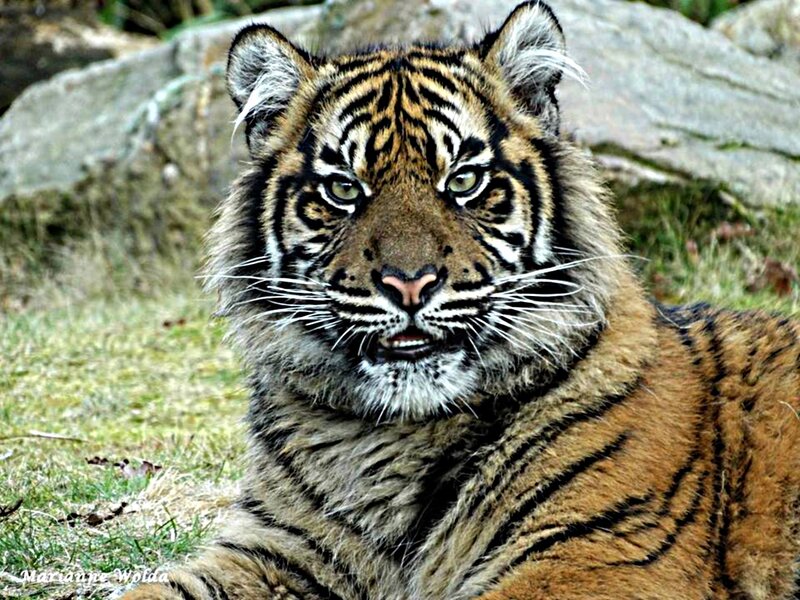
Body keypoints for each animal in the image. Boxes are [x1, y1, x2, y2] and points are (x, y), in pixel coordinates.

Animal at [122, 1, 800, 599]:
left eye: (465, 180)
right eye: (343, 188)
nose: (409, 282)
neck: (385, 438)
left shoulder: (594, 555)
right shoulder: (274, 553)